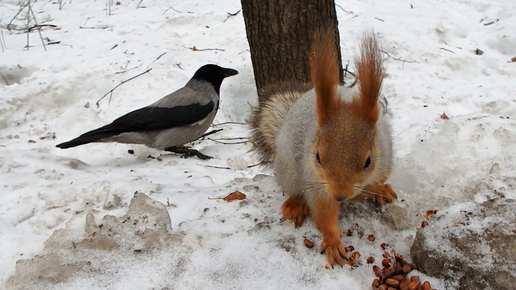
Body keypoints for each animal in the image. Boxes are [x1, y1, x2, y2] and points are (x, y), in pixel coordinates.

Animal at [248, 28, 398, 266]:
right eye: (318, 156)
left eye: (368, 161)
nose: (339, 195)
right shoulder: (316, 182)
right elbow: (323, 212)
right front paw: (332, 242)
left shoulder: (385, 157)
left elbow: (377, 181)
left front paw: (379, 190)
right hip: (289, 170)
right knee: (294, 189)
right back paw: (295, 204)